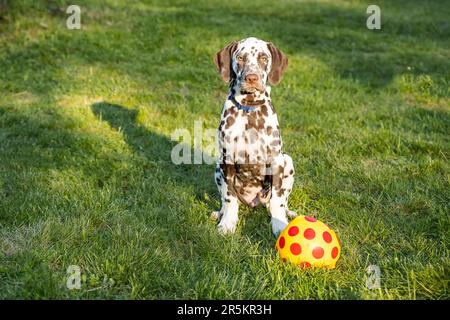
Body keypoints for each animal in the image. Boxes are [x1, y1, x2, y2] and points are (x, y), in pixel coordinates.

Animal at [214, 37, 298, 236]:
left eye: (263, 58)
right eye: (241, 58)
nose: (251, 78)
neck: (249, 110)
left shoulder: (276, 161)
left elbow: (277, 200)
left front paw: (279, 225)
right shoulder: (226, 161)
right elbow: (229, 198)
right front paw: (227, 223)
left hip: (288, 162)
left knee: (280, 201)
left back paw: (288, 213)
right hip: (217, 168)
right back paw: (219, 213)